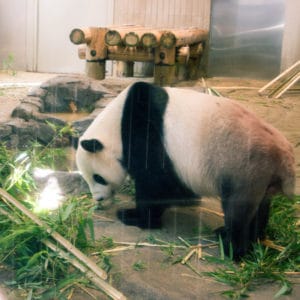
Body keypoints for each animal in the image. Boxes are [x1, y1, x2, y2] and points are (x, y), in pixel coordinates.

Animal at [75, 81, 296, 258]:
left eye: (98, 177)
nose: (98, 199)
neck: (116, 125)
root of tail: (283, 159)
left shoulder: (148, 133)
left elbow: (157, 183)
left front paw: (134, 216)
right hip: (260, 177)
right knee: (259, 208)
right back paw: (248, 237)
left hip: (245, 168)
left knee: (237, 210)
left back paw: (233, 249)